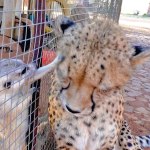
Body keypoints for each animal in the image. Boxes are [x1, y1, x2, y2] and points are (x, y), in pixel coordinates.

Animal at [45, 16, 150, 150]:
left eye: (103, 89)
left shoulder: (107, 144)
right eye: (65, 76)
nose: (72, 110)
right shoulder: (66, 144)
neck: (88, 120)